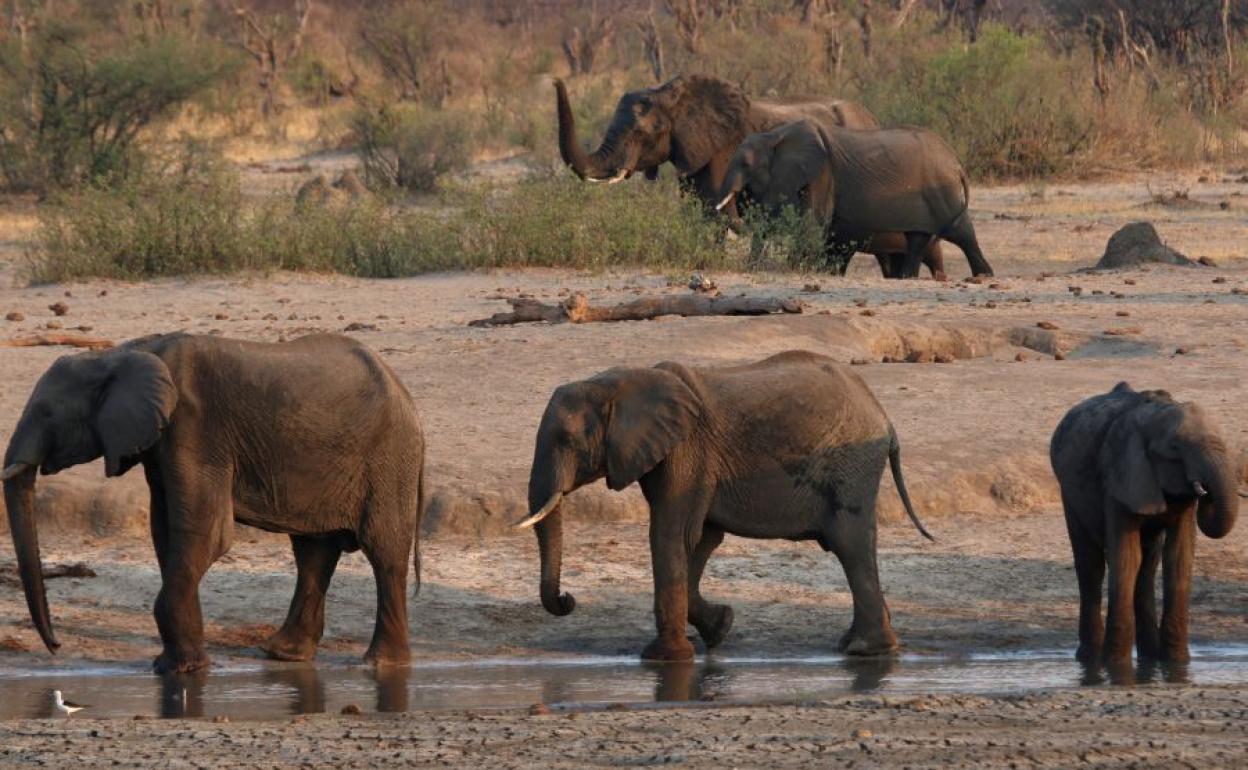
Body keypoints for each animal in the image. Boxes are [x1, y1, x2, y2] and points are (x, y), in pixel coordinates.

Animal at [1, 334, 424, 668]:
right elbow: (165, 530)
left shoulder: (194, 428)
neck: (126, 351)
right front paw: (176, 664)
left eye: (46, 412)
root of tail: (405, 394)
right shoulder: (161, 441)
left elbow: (205, 532)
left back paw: (381, 663)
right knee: (313, 552)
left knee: (383, 552)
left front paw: (181, 670)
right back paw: (285, 654)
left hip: (389, 460)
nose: (56, 646)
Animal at [511, 349, 933, 658]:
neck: (622, 381)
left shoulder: (686, 452)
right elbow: (701, 540)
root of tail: (884, 416)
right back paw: (860, 646)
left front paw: (664, 658)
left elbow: (671, 535)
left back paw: (864, 650)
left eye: (567, 439)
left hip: (852, 466)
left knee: (850, 542)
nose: (568, 599)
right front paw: (721, 627)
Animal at [713, 119, 993, 275]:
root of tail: (957, 164)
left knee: (960, 233)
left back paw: (984, 275)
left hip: (942, 192)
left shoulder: (823, 173)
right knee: (919, 239)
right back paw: (909, 277)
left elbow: (813, 223)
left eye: (746, 164)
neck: (775, 135)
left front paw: (794, 269)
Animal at [1053, 384, 1238, 668]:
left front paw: (1177, 664)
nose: (1207, 493)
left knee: (1148, 565)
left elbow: (1178, 557)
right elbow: (1126, 557)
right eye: (1174, 447)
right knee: (1091, 566)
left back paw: (1149, 658)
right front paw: (1116, 667)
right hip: (1070, 494)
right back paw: (1090, 659)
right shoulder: (1119, 477)